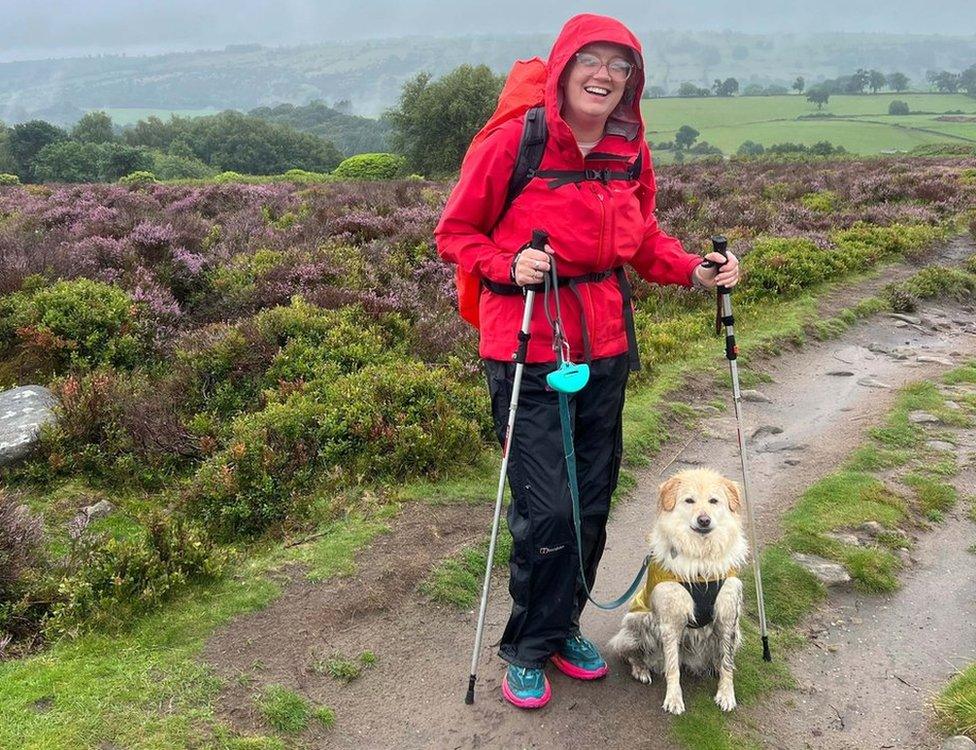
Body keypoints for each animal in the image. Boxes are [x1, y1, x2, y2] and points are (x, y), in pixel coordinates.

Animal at [608, 470, 748, 716]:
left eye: (713, 501)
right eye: (689, 500)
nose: (704, 520)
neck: (701, 562)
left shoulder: (728, 616)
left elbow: (727, 662)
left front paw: (726, 694)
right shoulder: (669, 621)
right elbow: (672, 667)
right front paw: (673, 699)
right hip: (637, 621)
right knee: (631, 654)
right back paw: (641, 669)